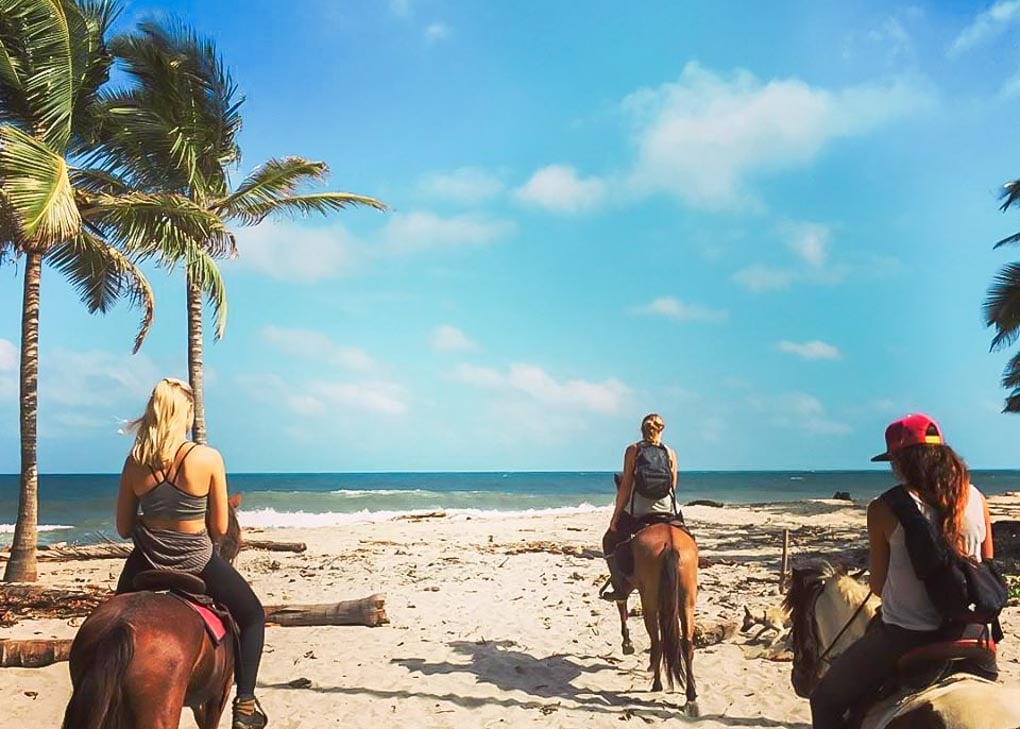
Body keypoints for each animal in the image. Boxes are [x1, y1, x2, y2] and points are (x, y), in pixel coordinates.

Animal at [607, 522, 697, 717]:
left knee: (656, 642)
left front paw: (627, 643)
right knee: (686, 644)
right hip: (687, 603)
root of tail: (669, 545)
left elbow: (623, 609)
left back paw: (657, 683)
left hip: (649, 604)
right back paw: (691, 696)